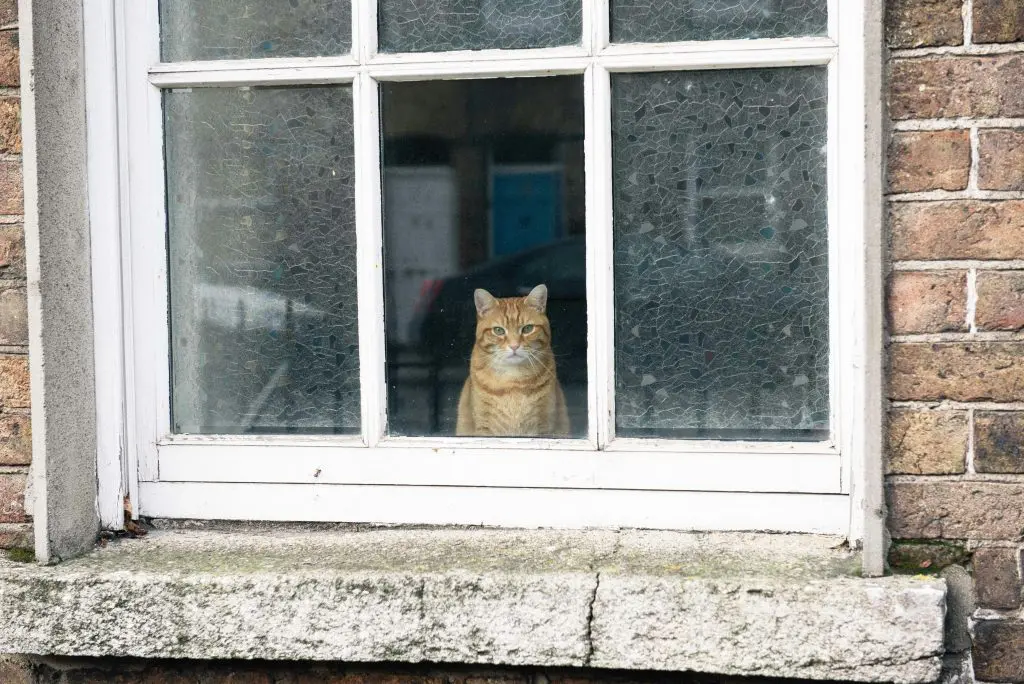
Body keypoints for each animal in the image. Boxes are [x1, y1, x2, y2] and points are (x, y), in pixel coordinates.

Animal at [454, 284, 569, 438]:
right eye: (498, 330)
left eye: (527, 329)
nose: (514, 346)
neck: (513, 381)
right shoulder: (484, 428)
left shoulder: (544, 426)